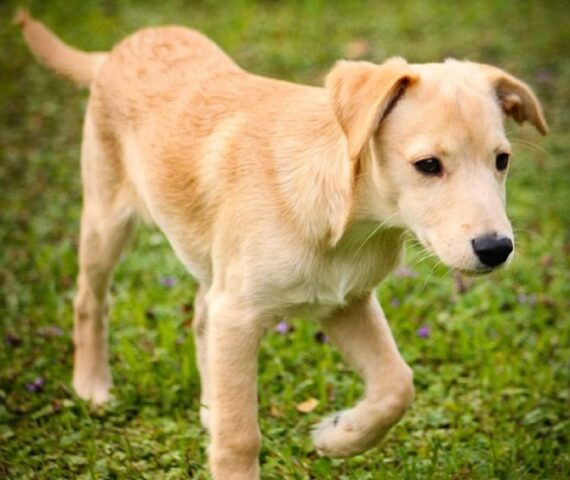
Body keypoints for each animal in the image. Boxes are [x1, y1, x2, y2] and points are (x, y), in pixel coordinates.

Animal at [15, 11, 544, 480]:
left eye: (502, 161)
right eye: (428, 165)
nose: (497, 248)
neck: (347, 218)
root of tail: (113, 54)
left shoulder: (346, 302)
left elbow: (398, 385)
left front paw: (338, 435)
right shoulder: (239, 315)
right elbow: (241, 435)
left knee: (200, 313)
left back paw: (209, 406)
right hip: (105, 217)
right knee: (91, 299)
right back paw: (92, 387)